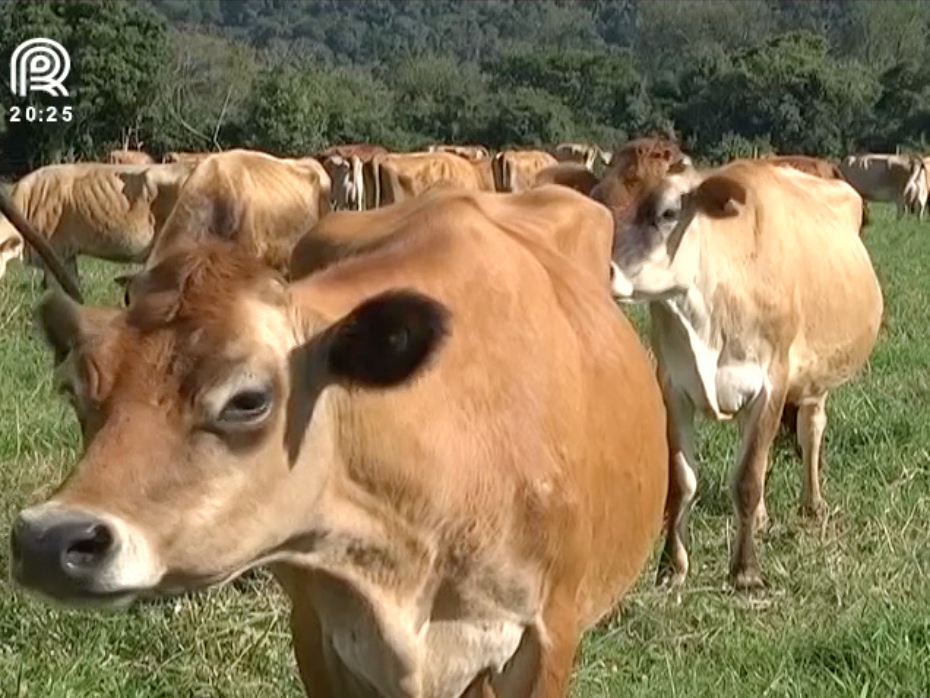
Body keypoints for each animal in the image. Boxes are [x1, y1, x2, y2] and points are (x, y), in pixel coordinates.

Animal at [604, 156, 880, 588]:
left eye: (667, 212)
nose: (608, 268)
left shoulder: (771, 384)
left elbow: (748, 478)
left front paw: (746, 571)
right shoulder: (673, 385)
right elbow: (681, 481)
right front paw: (671, 567)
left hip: (816, 377)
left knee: (811, 429)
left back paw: (812, 504)